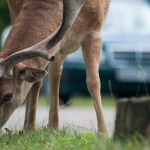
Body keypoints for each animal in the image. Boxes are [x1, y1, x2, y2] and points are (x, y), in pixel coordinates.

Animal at [0, 0, 110, 136]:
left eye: (8, 96)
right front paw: (30, 128)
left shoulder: (95, 32)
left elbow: (93, 82)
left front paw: (104, 133)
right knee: (48, 74)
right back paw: (38, 127)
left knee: (55, 70)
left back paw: (53, 126)